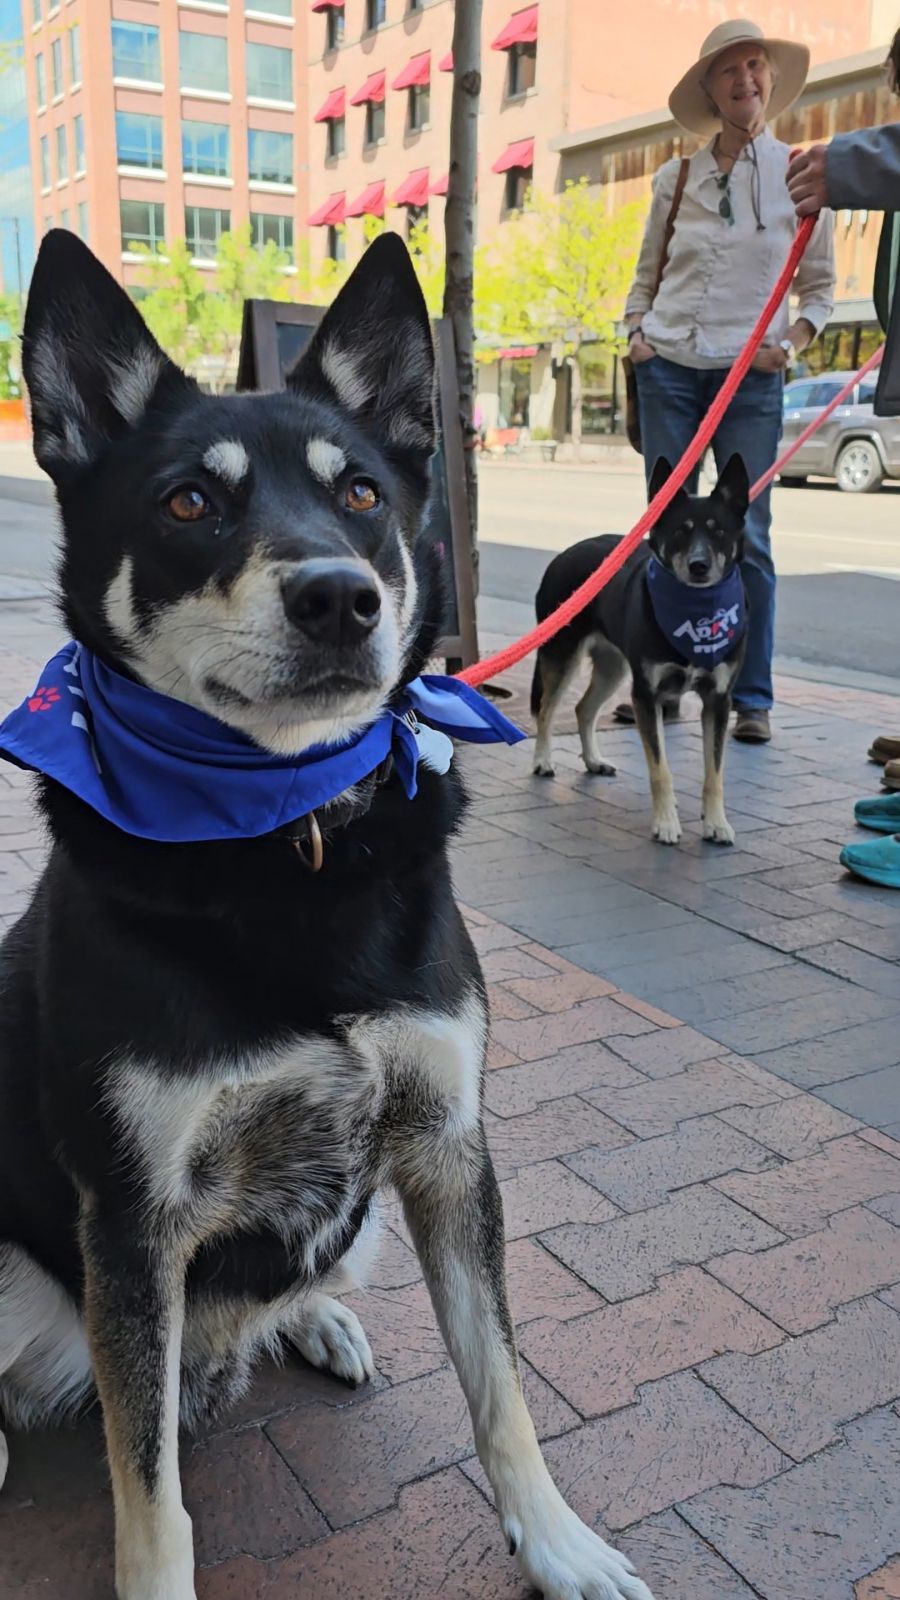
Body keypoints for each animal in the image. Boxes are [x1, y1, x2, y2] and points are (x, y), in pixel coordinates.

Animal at [0, 233, 650, 1600]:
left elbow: (502, 1387)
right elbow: (153, 1497)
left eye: (359, 494)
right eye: (188, 503)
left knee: (287, 1291)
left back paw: (321, 1317)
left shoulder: (450, 1142)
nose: (342, 598)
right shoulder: (131, 1220)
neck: (284, 838)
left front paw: (559, 1542)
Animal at [528, 454, 746, 851]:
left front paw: (716, 823)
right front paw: (666, 823)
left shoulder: (718, 700)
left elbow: (715, 773)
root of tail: (564, 553)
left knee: (583, 709)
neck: (696, 611)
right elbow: (661, 770)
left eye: (718, 531)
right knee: (547, 710)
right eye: (680, 531)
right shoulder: (647, 696)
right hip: (561, 657)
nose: (699, 566)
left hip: (613, 668)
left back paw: (593, 760)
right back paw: (542, 760)